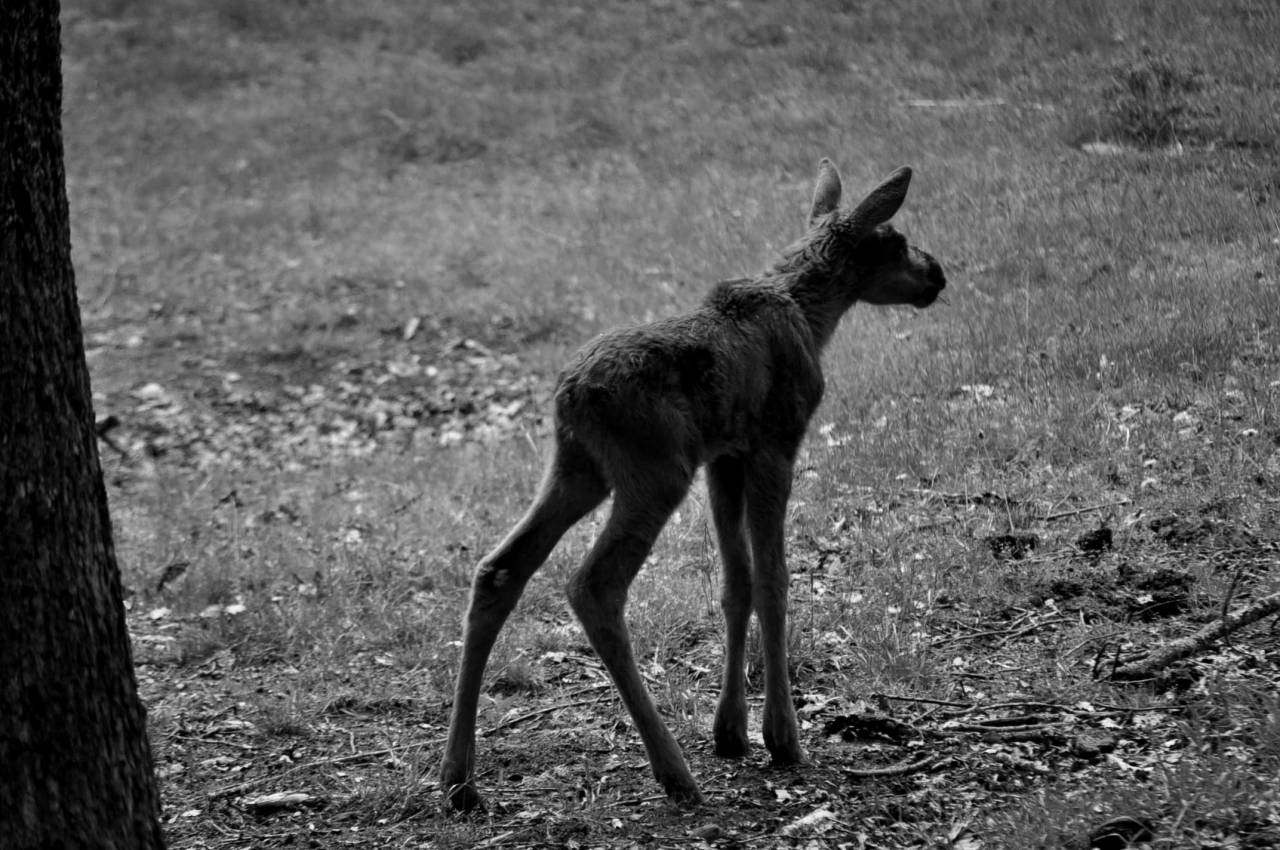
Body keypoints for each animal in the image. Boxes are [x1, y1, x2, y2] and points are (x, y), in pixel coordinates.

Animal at [439, 158, 946, 811]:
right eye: (897, 240)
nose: (937, 274)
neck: (814, 317)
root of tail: (570, 396)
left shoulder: (724, 456)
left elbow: (736, 583)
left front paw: (731, 730)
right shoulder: (776, 440)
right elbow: (774, 580)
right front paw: (783, 735)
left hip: (579, 468)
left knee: (499, 568)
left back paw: (458, 777)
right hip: (654, 471)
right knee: (593, 585)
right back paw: (673, 770)